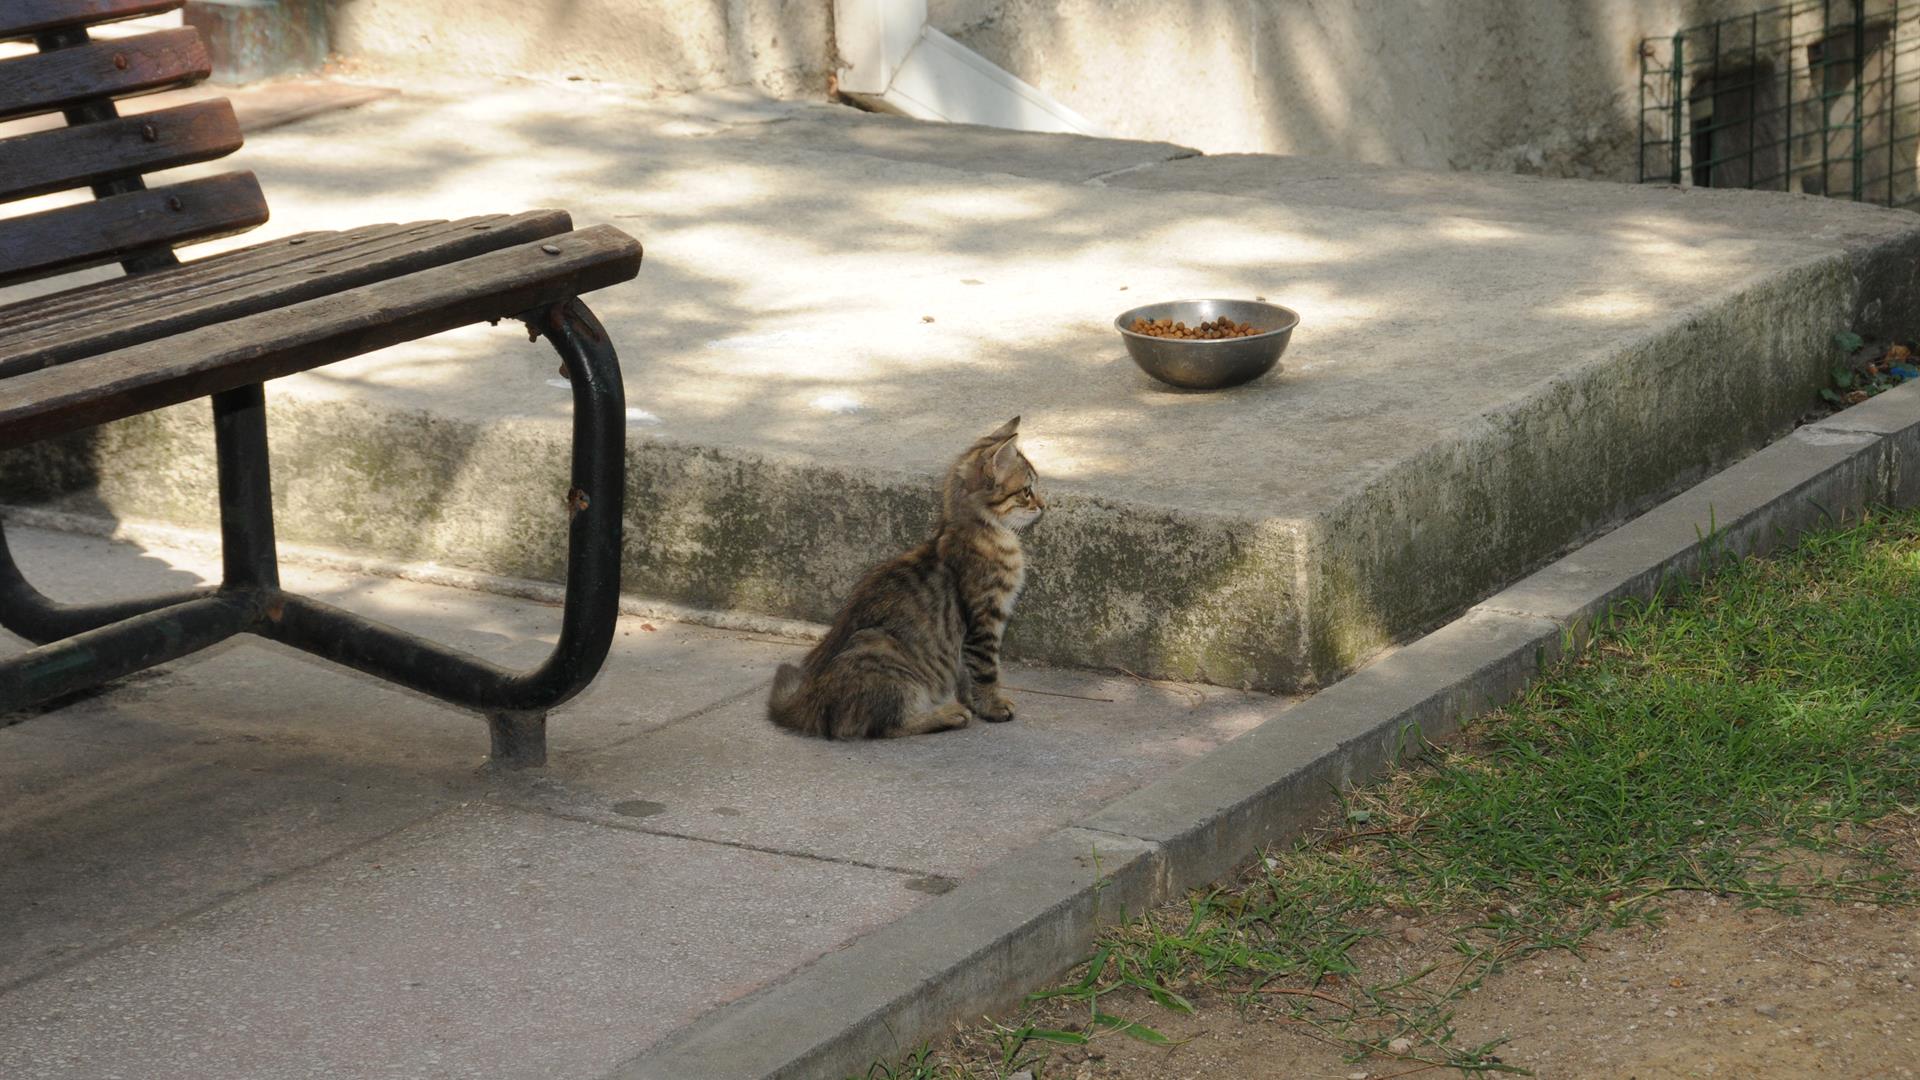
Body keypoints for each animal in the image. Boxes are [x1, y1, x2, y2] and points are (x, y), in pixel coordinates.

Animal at [764, 417, 1044, 734]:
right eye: (1027, 491)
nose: (1044, 505)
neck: (985, 532)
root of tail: (807, 697)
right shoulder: (984, 620)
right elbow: (985, 671)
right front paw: (992, 706)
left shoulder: (966, 638)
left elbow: (964, 673)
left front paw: (972, 701)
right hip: (887, 658)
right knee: (886, 725)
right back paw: (947, 714)